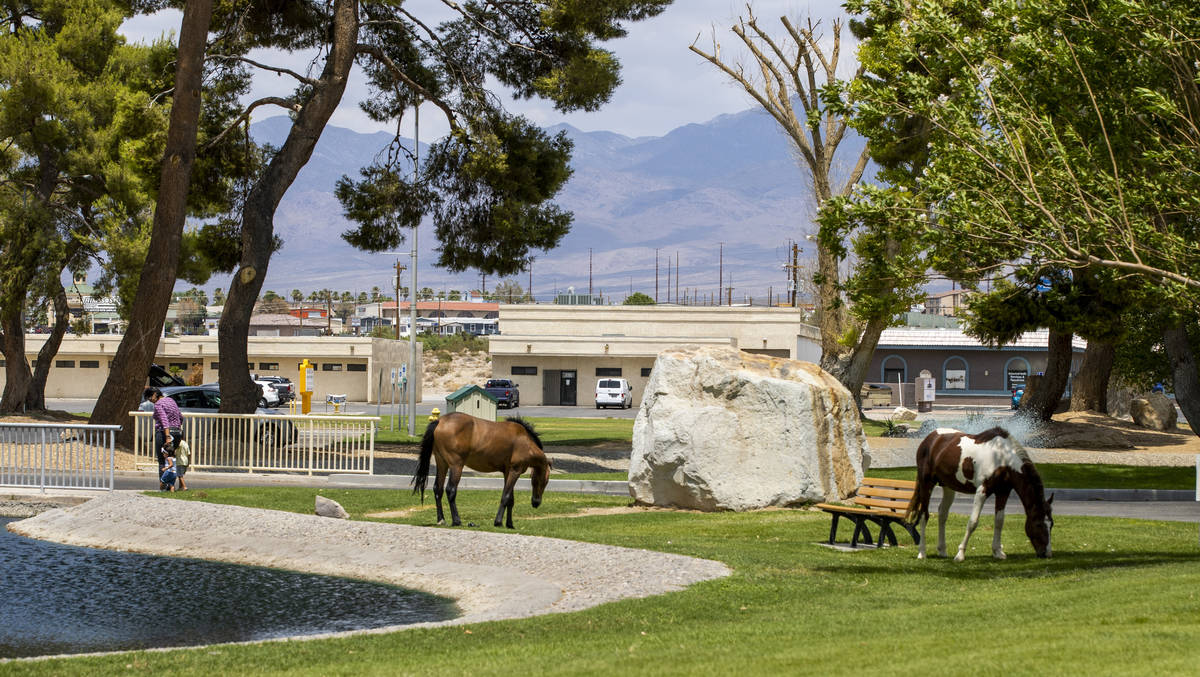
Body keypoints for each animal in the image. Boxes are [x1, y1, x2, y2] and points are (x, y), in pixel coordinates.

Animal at [408, 412, 549, 528]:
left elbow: (510, 500)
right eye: (545, 481)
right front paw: (498, 522)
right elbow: (506, 496)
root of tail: (440, 421)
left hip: (442, 463)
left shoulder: (507, 472)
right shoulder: (515, 471)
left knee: (438, 489)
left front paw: (509, 524)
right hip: (456, 466)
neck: (524, 441)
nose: (536, 502)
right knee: (450, 490)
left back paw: (441, 520)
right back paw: (457, 520)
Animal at [902, 427, 1056, 561]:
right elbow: (973, 522)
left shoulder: (1003, 492)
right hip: (926, 483)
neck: (1002, 458)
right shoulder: (982, 491)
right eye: (1038, 524)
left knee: (942, 514)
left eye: (1051, 524)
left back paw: (942, 550)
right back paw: (922, 552)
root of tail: (930, 438)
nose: (1047, 553)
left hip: (948, 486)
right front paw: (960, 554)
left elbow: (999, 521)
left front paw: (997, 551)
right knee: (924, 515)